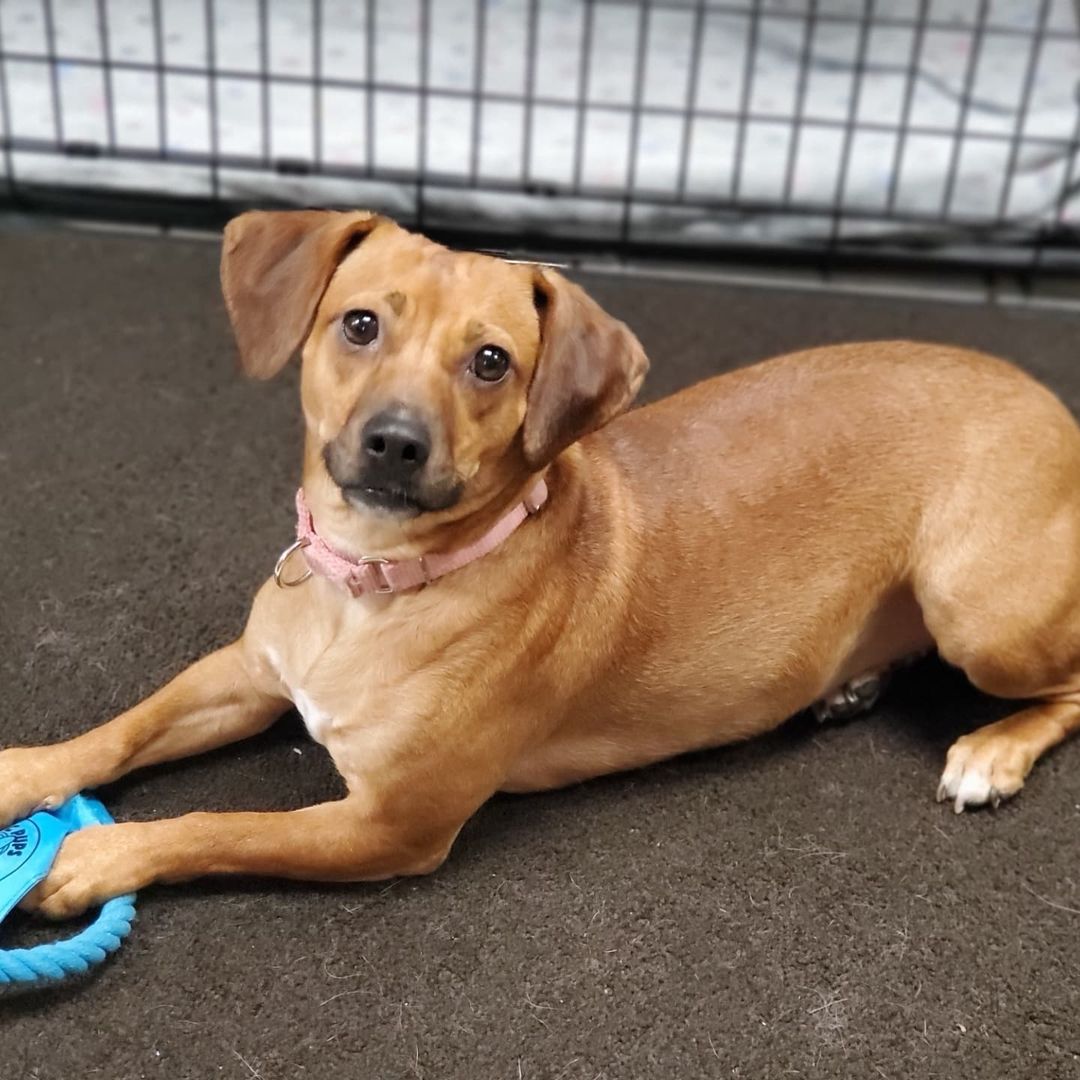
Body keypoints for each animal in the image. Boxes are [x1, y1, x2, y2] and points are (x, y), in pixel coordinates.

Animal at [6, 208, 1080, 911]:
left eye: (492, 361)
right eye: (360, 323)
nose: (395, 443)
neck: (372, 587)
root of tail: (1048, 402)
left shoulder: (387, 825)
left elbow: (220, 825)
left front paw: (102, 858)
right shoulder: (246, 674)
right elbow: (123, 730)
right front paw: (28, 772)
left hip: (979, 611)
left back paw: (991, 752)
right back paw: (856, 681)